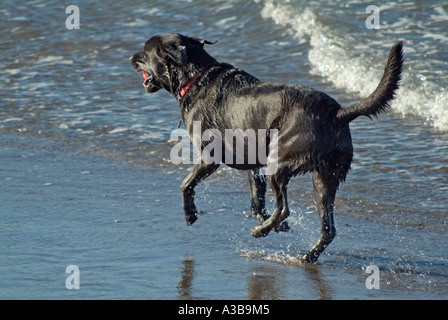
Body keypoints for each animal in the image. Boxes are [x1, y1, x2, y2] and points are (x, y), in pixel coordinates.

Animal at [131, 33, 404, 262]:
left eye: (145, 51)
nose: (131, 57)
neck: (196, 78)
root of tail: (337, 114)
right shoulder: (253, 163)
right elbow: (256, 200)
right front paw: (273, 224)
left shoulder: (210, 157)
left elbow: (185, 184)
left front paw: (190, 214)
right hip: (325, 177)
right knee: (327, 228)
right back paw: (306, 255)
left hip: (282, 162)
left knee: (284, 208)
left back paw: (261, 232)